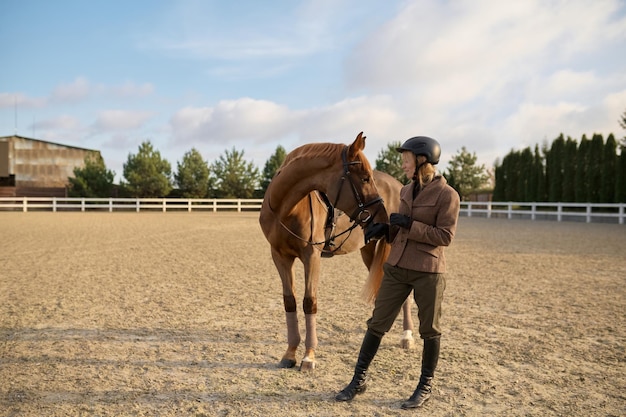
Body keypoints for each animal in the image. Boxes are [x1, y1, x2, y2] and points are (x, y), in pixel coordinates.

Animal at [256, 132, 412, 368]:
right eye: (364, 178)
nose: (383, 219)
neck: (286, 208)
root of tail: (398, 185)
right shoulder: (280, 256)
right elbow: (290, 301)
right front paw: (290, 353)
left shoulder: (312, 256)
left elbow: (309, 302)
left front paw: (308, 356)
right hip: (368, 251)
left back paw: (407, 336)